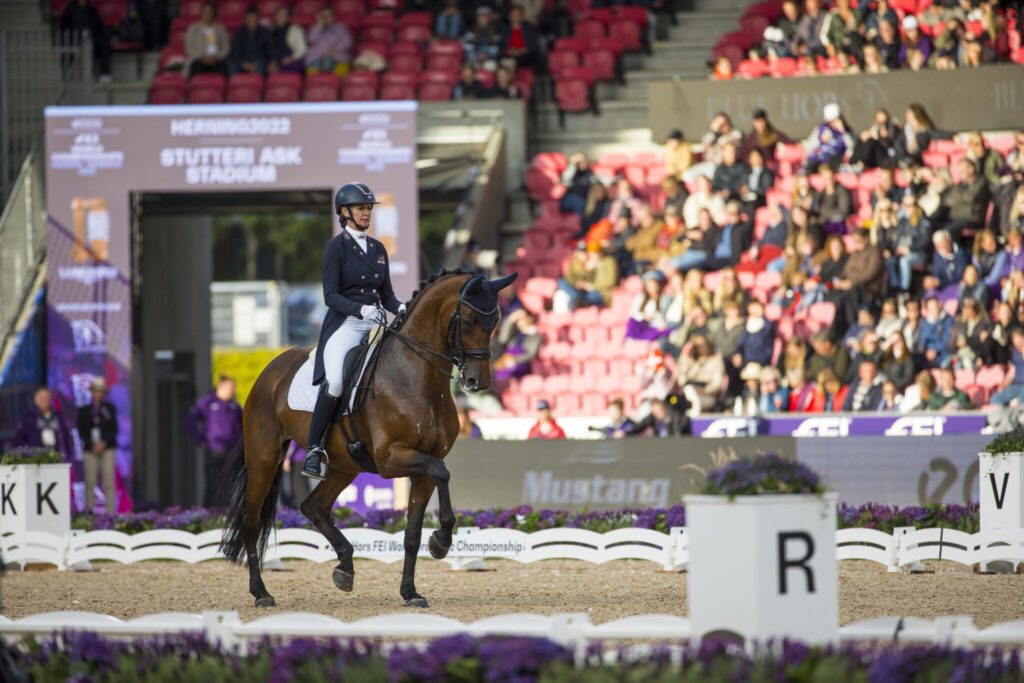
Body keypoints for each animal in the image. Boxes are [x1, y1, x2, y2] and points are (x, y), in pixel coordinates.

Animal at [219, 270, 516, 606]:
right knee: (252, 521)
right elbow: (442, 472)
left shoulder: (424, 464)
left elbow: (413, 532)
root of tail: (269, 371)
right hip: (265, 458)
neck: (417, 378)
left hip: (344, 465)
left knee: (313, 507)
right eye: (467, 321)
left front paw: (411, 591)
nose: (479, 381)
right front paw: (440, 542)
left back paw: (345, 567)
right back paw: (261, 592)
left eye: (495, 321)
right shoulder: (390, 459)